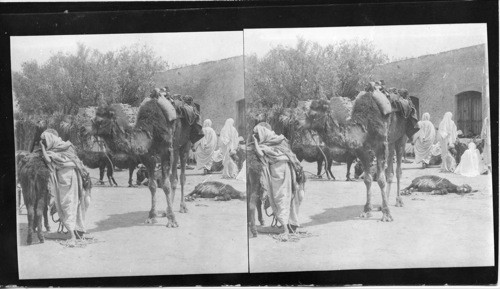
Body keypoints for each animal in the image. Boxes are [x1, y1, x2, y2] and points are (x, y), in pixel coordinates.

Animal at [304, 83, 418, 220]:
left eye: (314, 112)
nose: (299, 122)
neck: (366, 122)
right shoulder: (362, 150)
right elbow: (367, 179)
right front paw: (367, 211)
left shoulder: (380, 145)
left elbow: (380, 180)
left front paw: (386, 214)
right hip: (390, 140)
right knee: (390, 170)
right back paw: (382, 204)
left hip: (401, 137)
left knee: (398, 170)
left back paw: (398, 201)